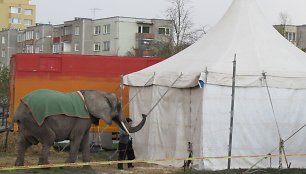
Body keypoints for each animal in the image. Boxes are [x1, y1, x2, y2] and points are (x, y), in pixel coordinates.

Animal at [11, 89, 146, 166]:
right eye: (118, 107)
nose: (144, 114)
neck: (98, 93)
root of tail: (18, 109)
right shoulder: (82, 119)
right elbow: (77, 137)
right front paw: (68, 164)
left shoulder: (86, 119)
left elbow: (85, 139)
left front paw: (87, 164)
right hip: (34, 120)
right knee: (49, 138)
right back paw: (45, 165)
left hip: (26, 123)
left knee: (24, 142)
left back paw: (18, 165)